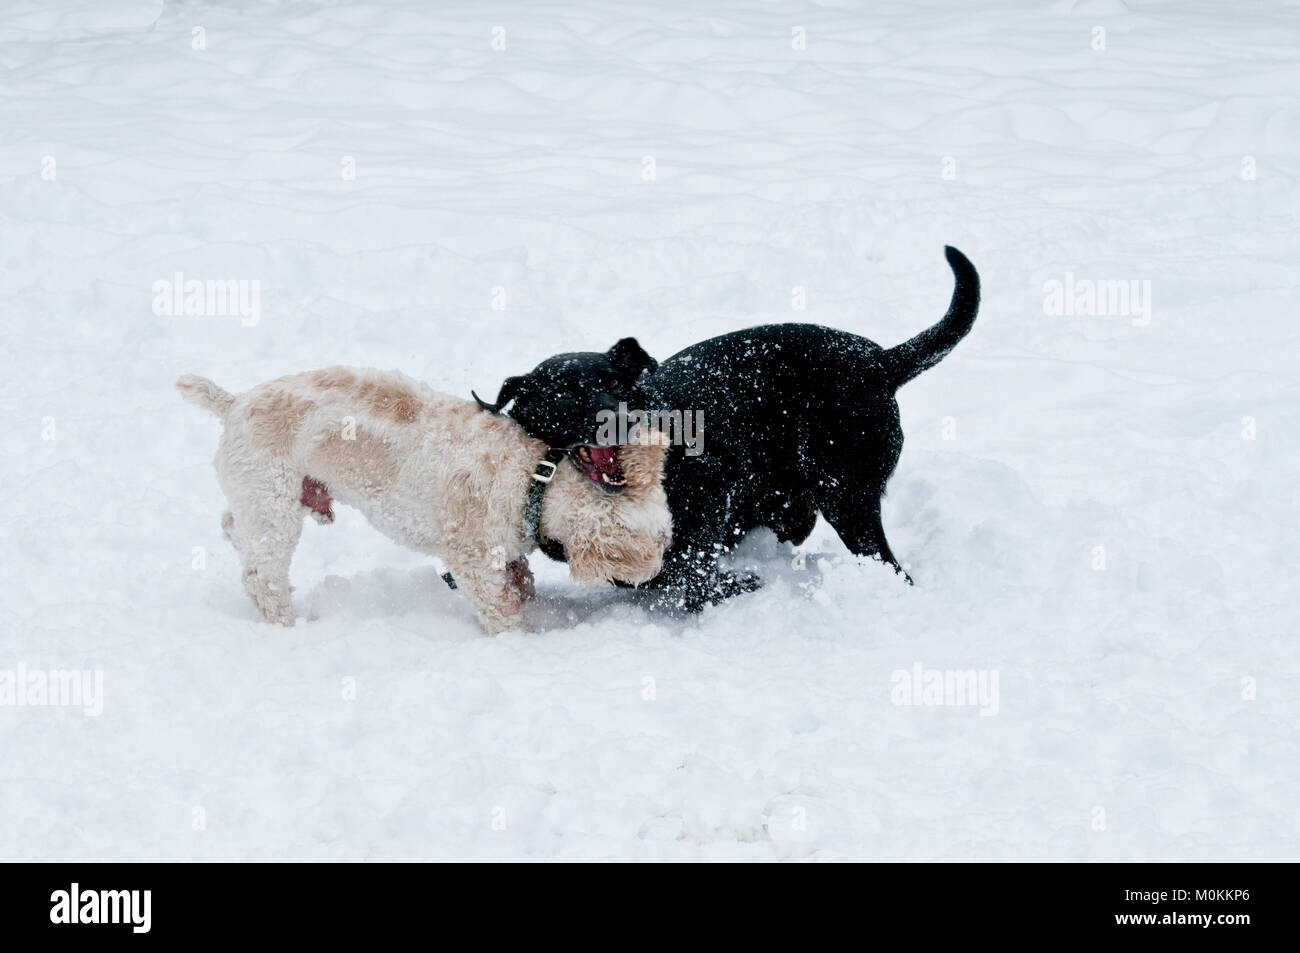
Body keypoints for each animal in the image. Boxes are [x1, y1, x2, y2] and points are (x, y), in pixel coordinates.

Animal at [176, 366, 670, 631]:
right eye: (662, 540)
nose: (662, 565)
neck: (535, 479)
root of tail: (234, 403)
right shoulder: (471, 555)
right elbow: (499, 606)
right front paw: (523, 637)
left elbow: (521, 581)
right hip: (272, 498)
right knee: (262, 576)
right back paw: (288, 622)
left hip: (262, 493)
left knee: (233, 525)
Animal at [475, 247, 977, 608]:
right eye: (563, 393)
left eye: (616, 384)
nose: (618, 418)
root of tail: (880, 361)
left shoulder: (712, 488)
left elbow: (684, 568)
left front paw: (728, 589)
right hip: (794, 505)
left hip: (846, 497)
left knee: (891, 567)